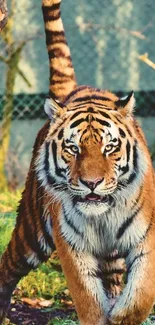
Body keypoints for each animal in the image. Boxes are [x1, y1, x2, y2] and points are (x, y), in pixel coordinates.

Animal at [0, 0, 155, 324]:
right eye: (73, 148)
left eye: (110, 147)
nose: (92, 183)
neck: (103, 217)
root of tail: (74, 90)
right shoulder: (72, 246)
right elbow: (88, 298)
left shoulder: (147, 238)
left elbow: (140, 295)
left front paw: (120, 315)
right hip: (32, 231)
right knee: (7, 265)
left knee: (113, 279)